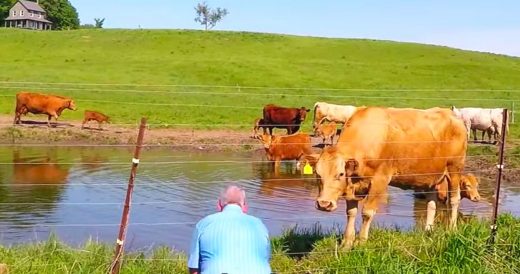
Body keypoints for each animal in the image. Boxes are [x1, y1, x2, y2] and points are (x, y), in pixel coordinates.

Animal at [312, 107, 468, 248]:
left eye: (340, 174)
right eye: (318, 174)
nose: (324, 204)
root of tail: (451, 114)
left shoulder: (380, 180)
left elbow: (367, 212)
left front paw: (361, 242)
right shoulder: (353, 186)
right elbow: (351, 212)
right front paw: (347, 243)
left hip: (454, 169)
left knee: (454, 200)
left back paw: (452, 228)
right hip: (429, 176)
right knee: (431, 203)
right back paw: (428, 231)